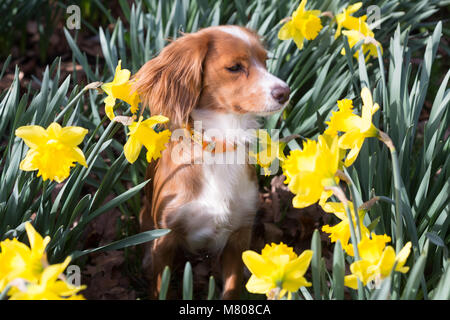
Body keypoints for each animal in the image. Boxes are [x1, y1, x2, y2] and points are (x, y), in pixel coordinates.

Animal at [134, 25, 290, 300]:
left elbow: (231, 287)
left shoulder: (239, 234)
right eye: (235, 67)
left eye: (265, 60)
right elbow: (160, 287)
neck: (220, 145)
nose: (284, 92)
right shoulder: (165, 236)